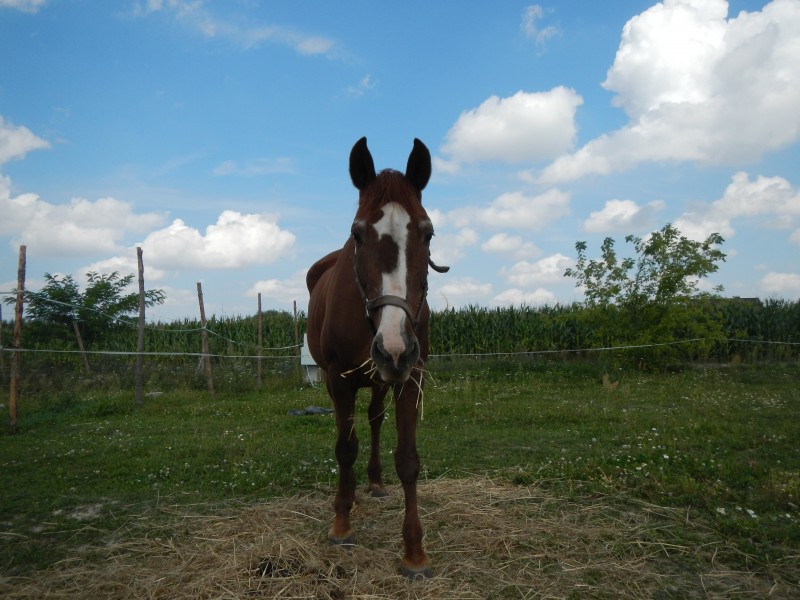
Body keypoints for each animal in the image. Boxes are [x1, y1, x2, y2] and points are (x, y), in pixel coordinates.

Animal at [304, 138, 446, 580]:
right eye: (358, 234)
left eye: (428, 232)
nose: (394, 345)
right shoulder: (339, 379)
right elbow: (344, 449)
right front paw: (341, 525)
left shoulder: (410, 375)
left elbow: (408, 459)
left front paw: (414, 553)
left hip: (384, 378)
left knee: (375, 420)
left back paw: (375, 483)